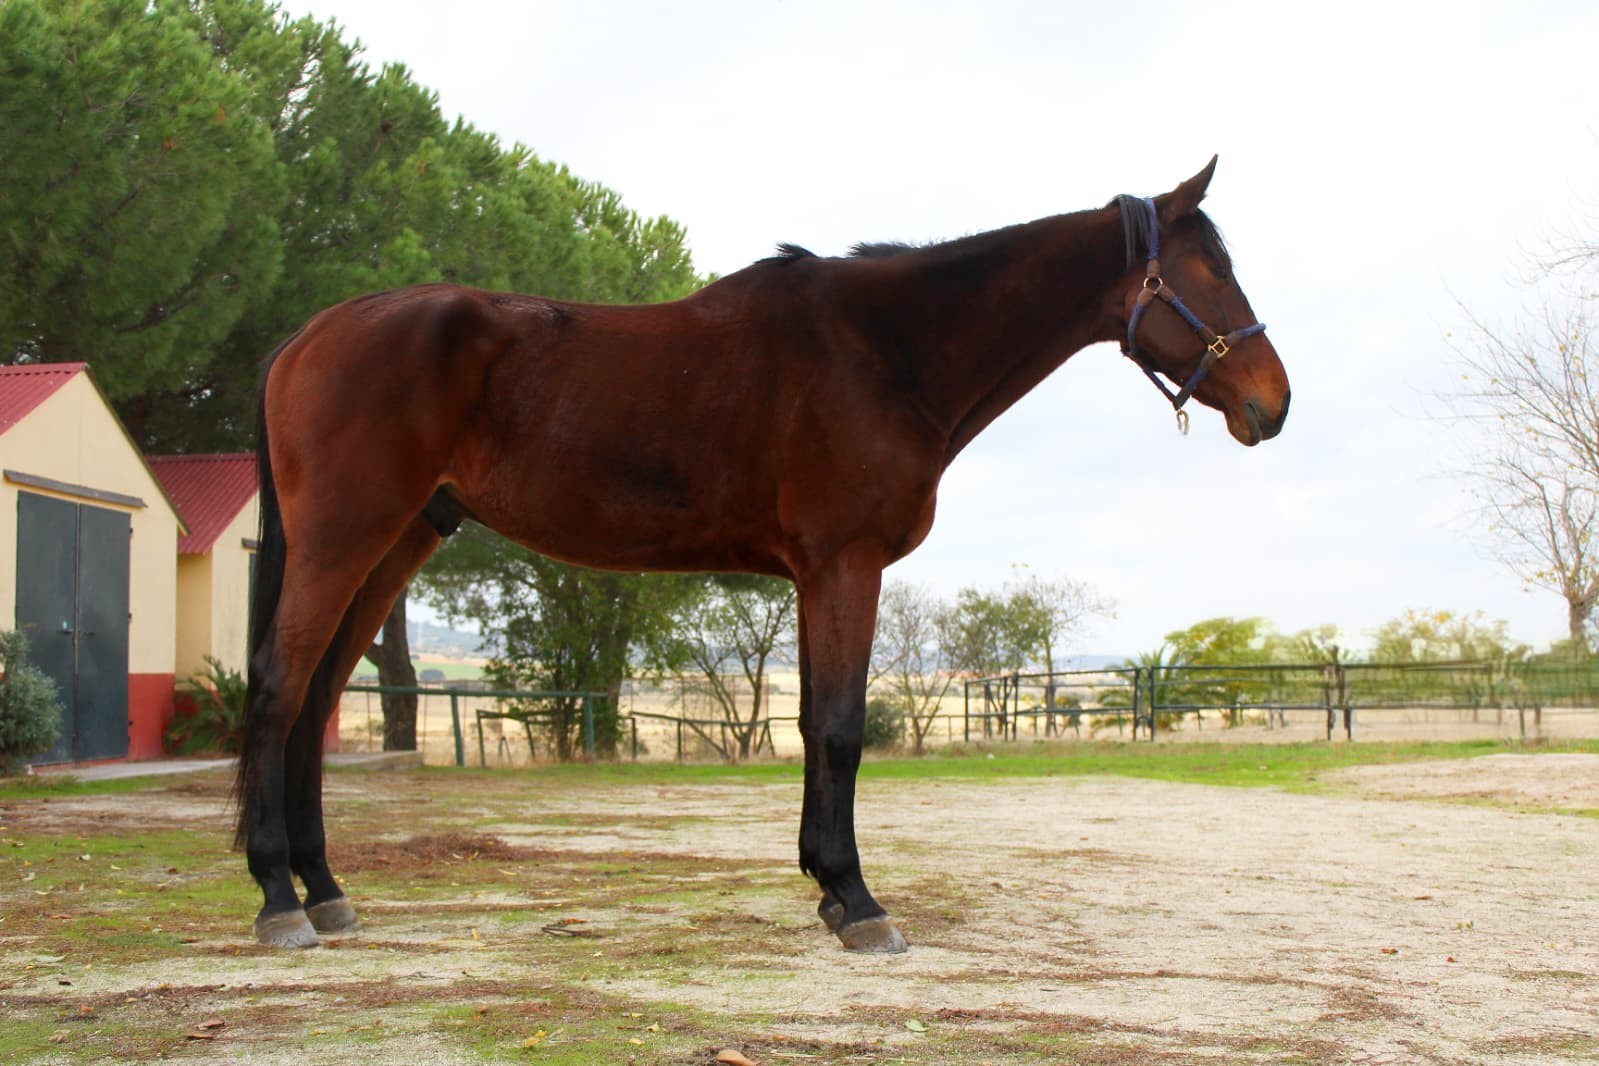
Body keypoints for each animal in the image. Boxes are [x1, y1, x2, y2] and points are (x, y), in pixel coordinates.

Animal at [237, 157, 1290, 954]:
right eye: (1210, 272)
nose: (1272, 403)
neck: (886, 351)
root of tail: (303, 337)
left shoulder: (819, 575)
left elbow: (817, 728)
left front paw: (826, 890)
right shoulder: (845, 564)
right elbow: (839, 730)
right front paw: (860, 905)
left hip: (399, 541)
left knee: (317, 702)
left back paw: (326, 890)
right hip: (344, 538)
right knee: (280, 692)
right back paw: (280, 901)